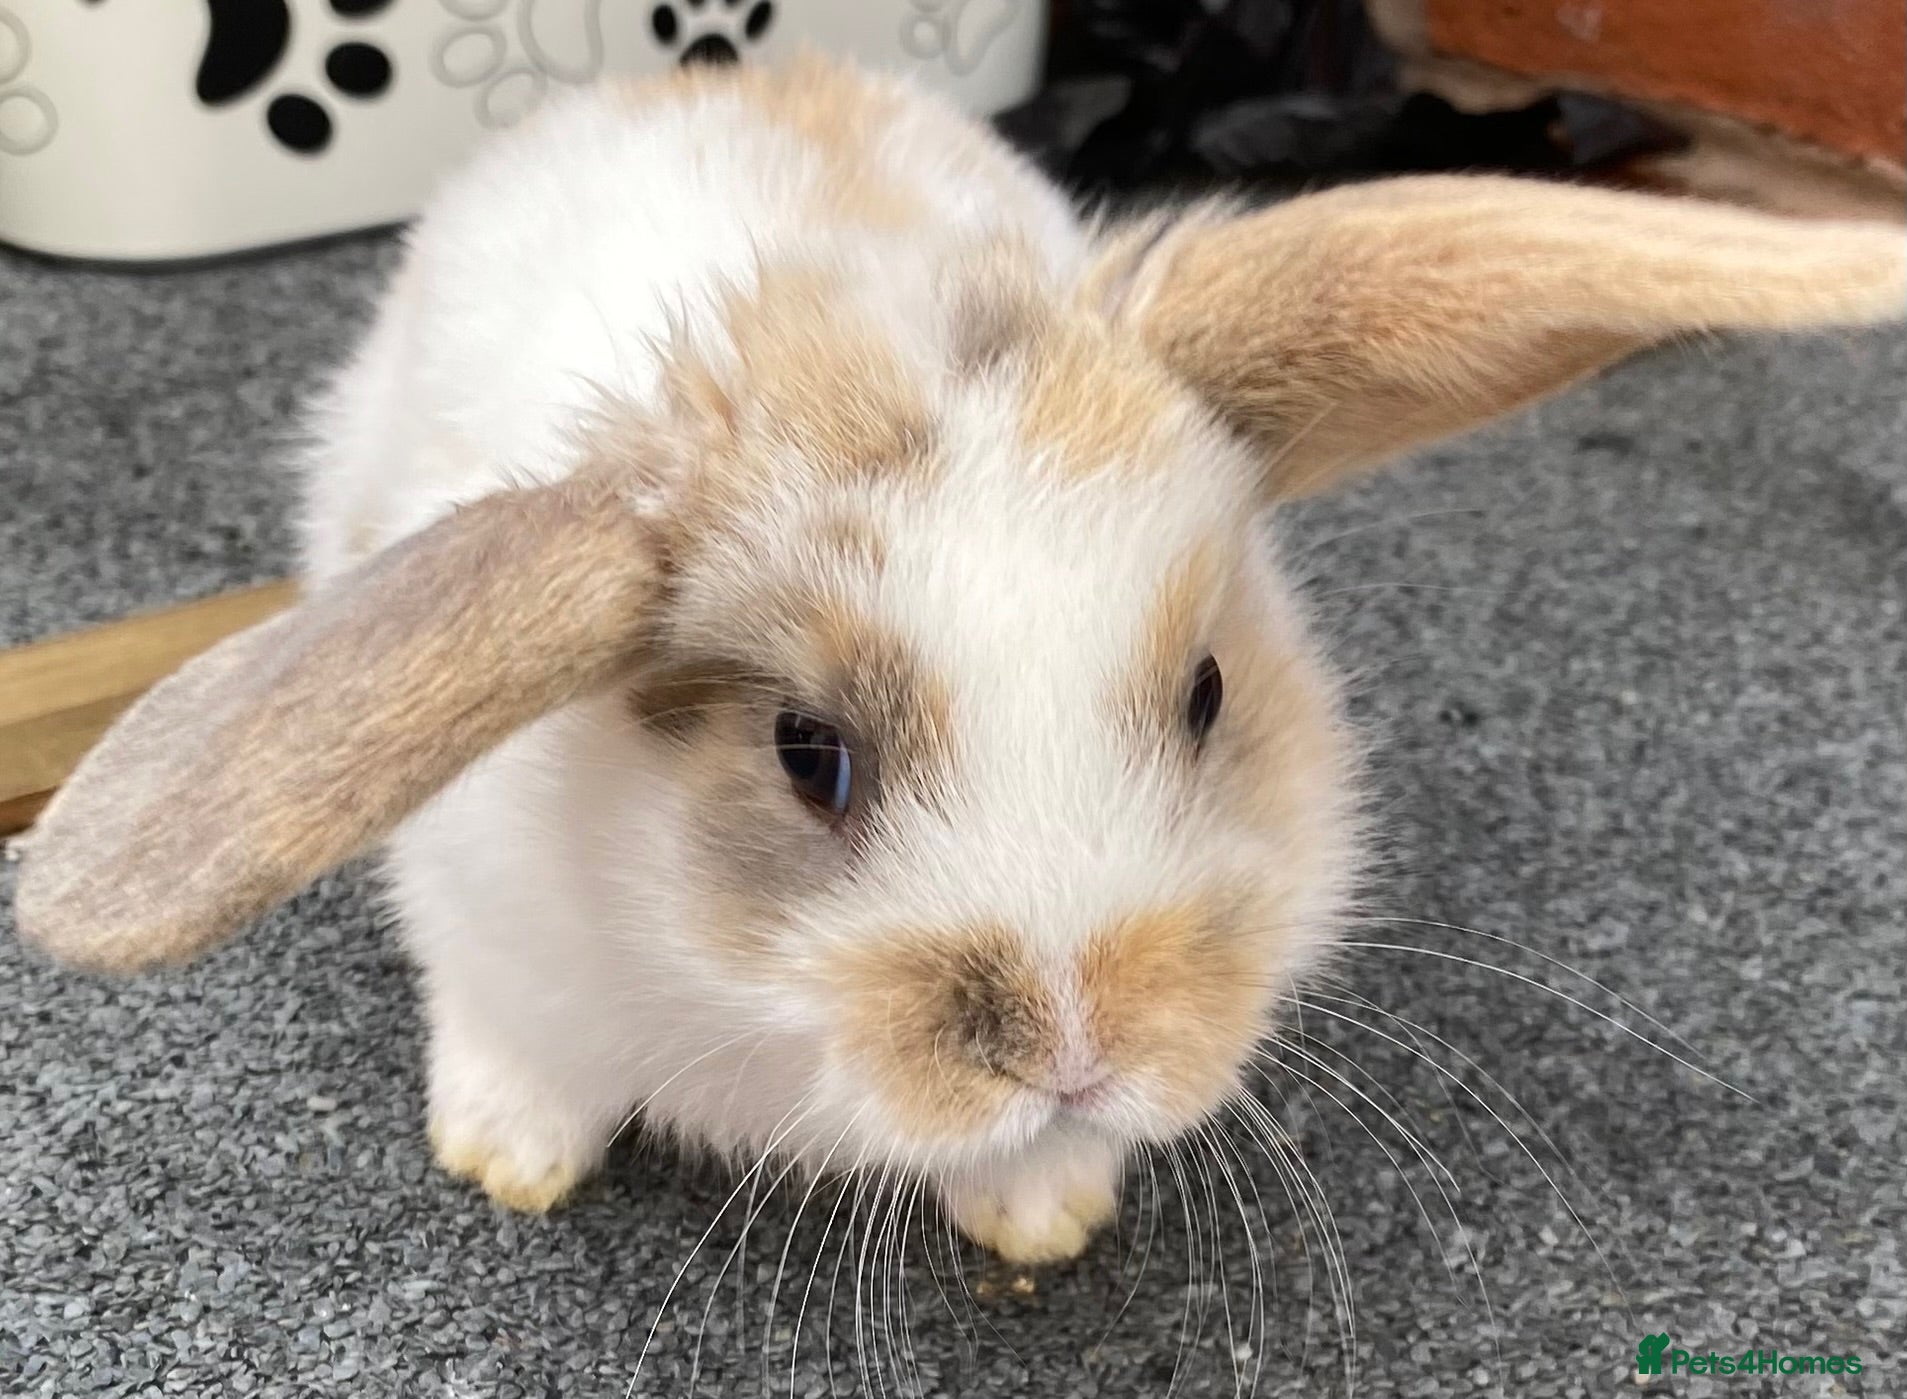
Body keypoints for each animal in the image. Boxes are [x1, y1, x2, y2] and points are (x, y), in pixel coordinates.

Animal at [14, 52, 1904, 1265]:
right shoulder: (488, 927)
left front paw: (1045, 1211)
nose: (1079, 1046)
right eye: (805, 749)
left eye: (1211, 692)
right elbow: (514, 1042)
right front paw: (506, 1162)